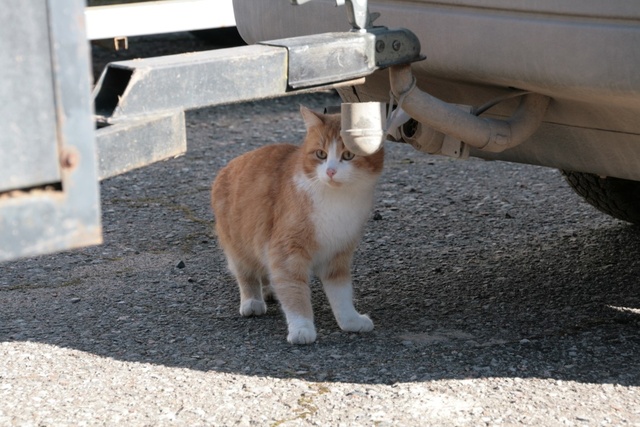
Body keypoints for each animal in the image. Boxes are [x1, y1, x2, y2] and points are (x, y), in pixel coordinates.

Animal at [212, 105, 382, 346]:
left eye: (348, 155)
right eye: (321, 154)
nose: (330, 171)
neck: (336, 201)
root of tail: (230, 165)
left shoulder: (338, 253)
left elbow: (341, 293)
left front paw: (350, 320)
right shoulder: (287, 251)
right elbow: (294, 292)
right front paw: (302, 328)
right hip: (239, 244)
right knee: (245, 273)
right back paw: (252, 301)